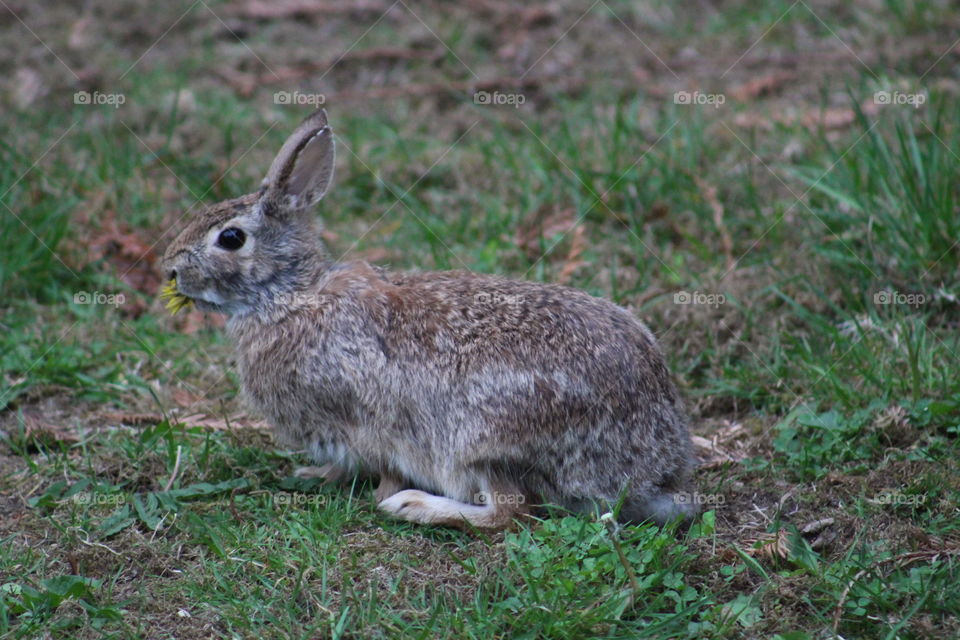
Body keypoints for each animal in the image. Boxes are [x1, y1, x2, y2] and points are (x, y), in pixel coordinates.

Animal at [161, 109, 692, 528]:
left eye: (230, 238)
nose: (170, 269)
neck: (290, 297)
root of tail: (654, 468)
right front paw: (313, 475)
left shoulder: (368, 421)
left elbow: (381, 463)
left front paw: (374, 494)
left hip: (481, 439)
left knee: (509, 513)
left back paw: (415, 507)